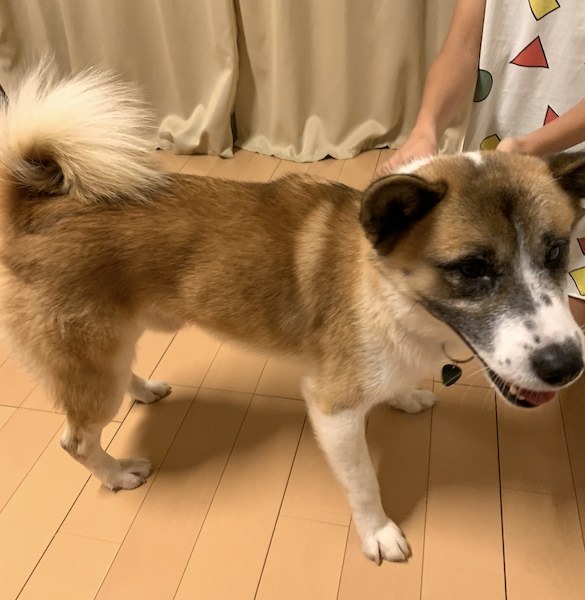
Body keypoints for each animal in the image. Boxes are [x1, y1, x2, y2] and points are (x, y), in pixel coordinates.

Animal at [1, 64, 585, 565]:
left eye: (557, 251)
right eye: (471, 268)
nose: (567, 367)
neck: (385, 289)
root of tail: (34, 208)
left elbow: (395, 388)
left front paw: (404, 396)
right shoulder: (335, 411)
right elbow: (364, 483)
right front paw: (378, 533)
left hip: (112, 343)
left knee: (115, 378)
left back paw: (142, 390)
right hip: (88, 358)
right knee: (76, 438)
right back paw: (116, 475)